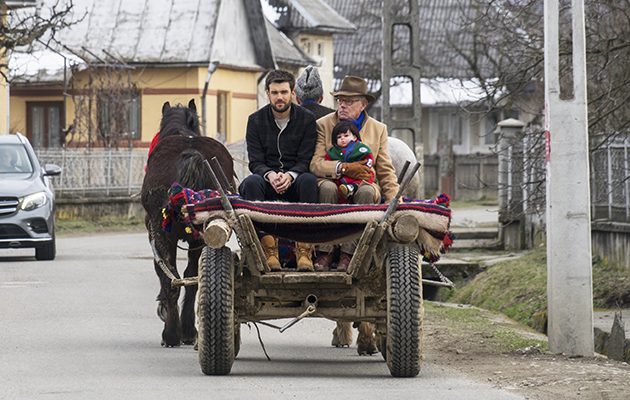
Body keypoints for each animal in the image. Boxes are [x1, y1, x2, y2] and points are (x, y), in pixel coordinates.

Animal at [142, 100, 236, 346]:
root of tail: (191, 152)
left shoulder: (154, 233)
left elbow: (164, 272)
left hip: (161, 231)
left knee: (171, 277)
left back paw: (172, 333)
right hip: (203, 235)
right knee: (191, 276)